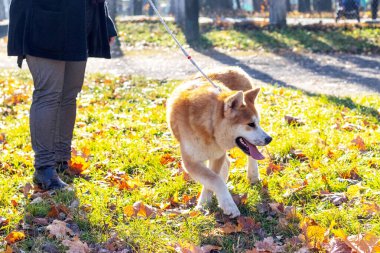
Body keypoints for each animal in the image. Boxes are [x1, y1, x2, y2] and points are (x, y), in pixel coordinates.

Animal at [168, 67, 272, 217]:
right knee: (226, 165)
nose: (269, 139)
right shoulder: (191, 162)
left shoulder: (217, 155)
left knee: (249, 158)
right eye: (251, 124)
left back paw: (253, 175)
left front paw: (208, 202)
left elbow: (213, 178)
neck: (209, 127)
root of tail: (235, 68)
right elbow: (214, 179)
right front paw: (216, 203)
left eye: (257, 123)